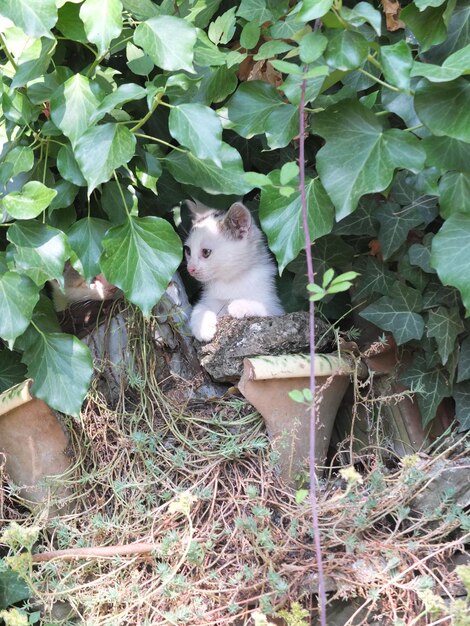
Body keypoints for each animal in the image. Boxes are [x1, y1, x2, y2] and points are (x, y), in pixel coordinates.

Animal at [184, 201, 282, 342]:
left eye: (206, 252)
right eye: (188, 251)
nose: (190, 268)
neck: (230, 280)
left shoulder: (276, 308)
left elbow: (264, 308)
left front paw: (239, 305)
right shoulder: (211, 299)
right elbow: (200, 307)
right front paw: (202, 326)